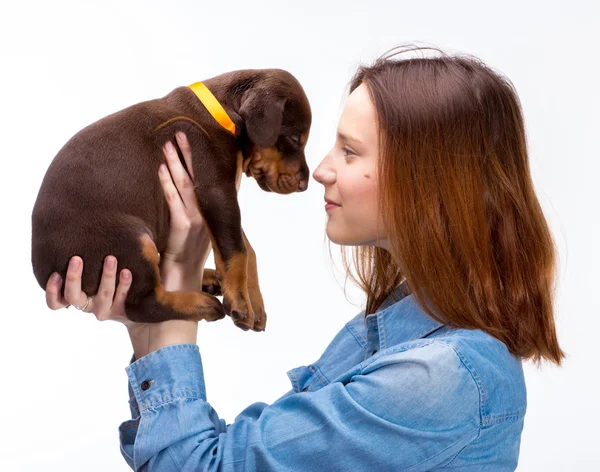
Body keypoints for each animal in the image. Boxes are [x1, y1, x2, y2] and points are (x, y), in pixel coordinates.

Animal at [31, 68, 314, 332]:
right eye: (293, 139)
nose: (304, 185)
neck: (223, 112)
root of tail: (44, 272)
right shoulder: (216, 190)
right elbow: (237, 250)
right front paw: (241, 303)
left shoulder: (218, 197)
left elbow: (246, 248)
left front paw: (255, 301)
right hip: (131, 241)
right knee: (143, 305)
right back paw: (200, 304)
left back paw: (209, 279)